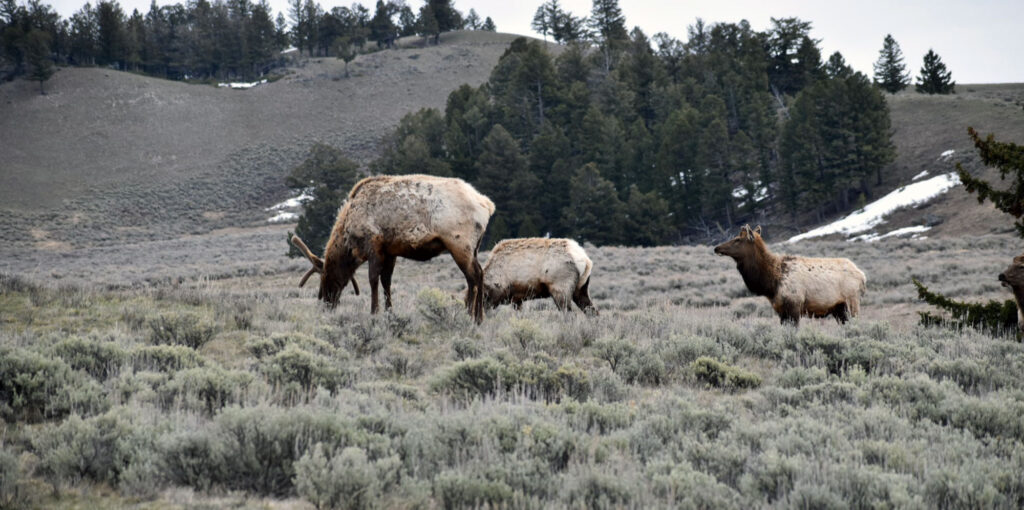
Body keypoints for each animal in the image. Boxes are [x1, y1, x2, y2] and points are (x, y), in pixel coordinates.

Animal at [288, 175, 495, 323]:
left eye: (326, 277)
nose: (326, 303)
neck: (349, 237)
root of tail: (487, 205)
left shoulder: (374, 245)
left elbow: (373, 280)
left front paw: (374, 312)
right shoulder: (390, 251)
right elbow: (386, 281)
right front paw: (389, 311)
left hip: (459, 244)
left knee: (473, 277)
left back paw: (469, 316)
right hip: (474, 248)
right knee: (480, 273)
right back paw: (479, 318)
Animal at [716, 225, 868, 325]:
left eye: (737, 239)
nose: (716, 248)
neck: (771, 283)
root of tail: (863, 276)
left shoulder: (794, 305)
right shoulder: (780, 310)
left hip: (852, 301)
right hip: (838, 308)